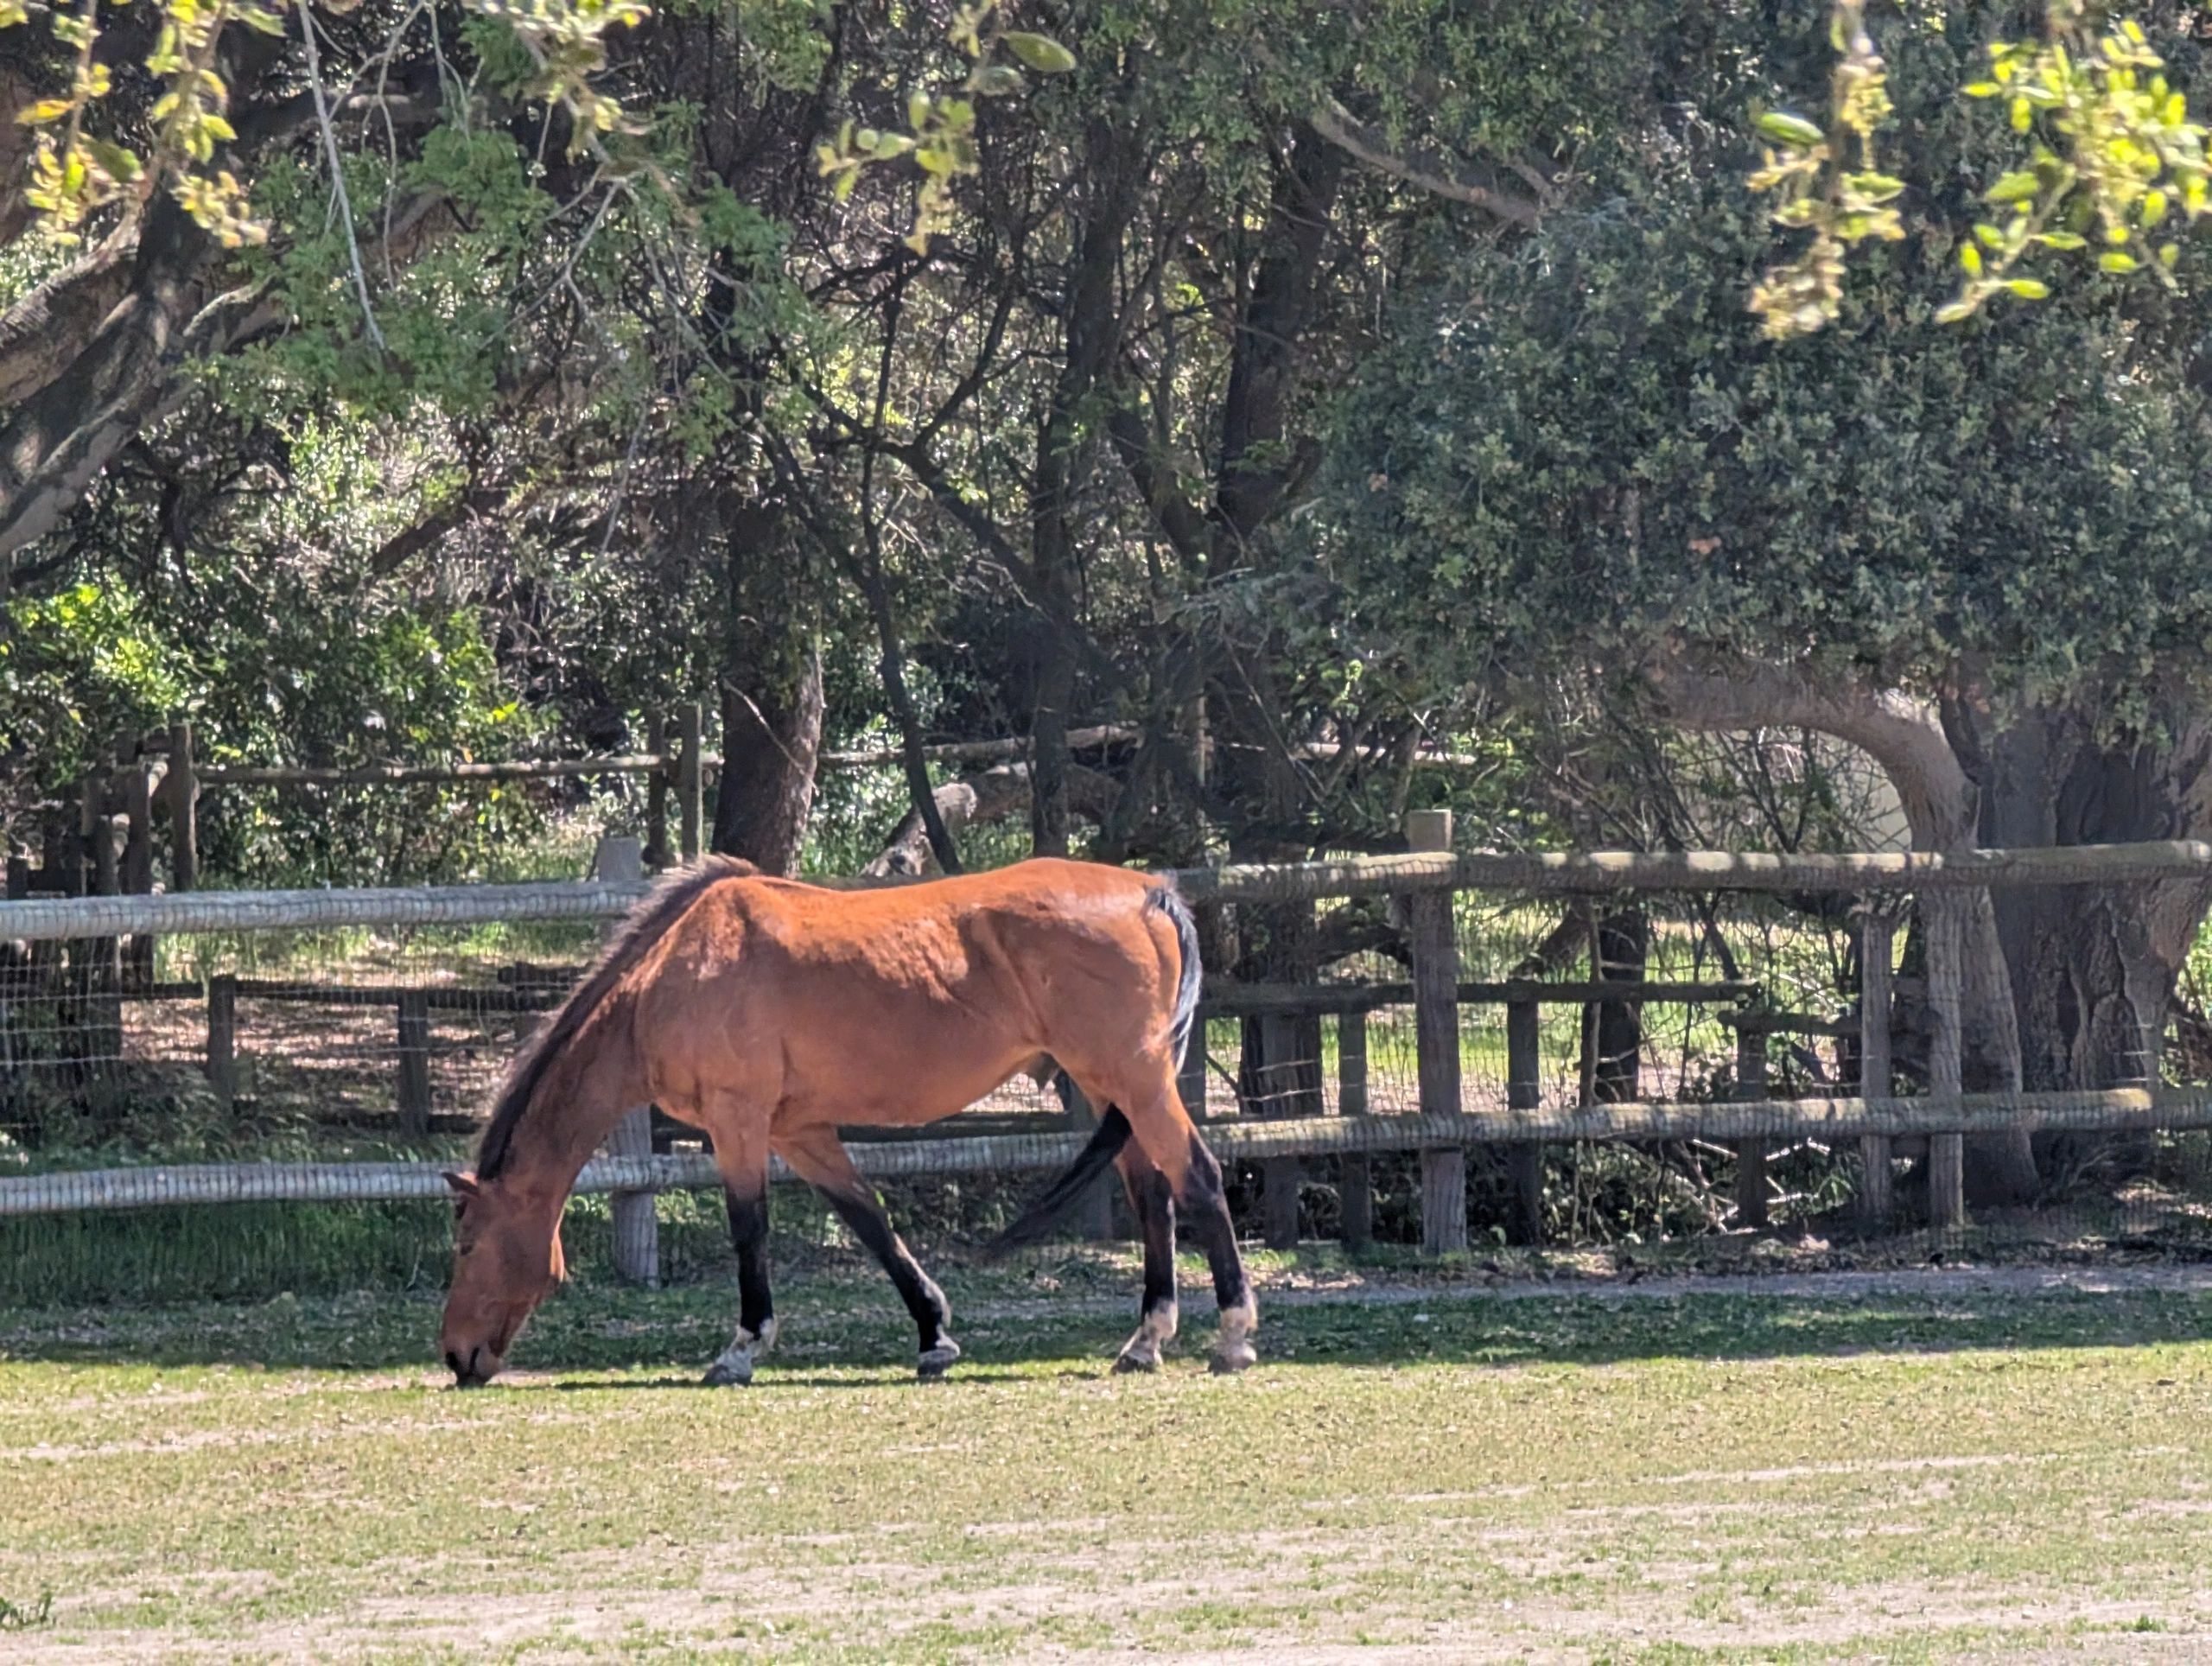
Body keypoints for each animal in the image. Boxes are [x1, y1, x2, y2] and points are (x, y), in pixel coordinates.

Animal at [437, 856, 1257, 1387]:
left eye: (469, 1244)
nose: (456, 1356)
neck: (673, 975)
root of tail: (1148, 893)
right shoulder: (798, 1133)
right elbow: (869, 1221)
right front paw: (933, 1335)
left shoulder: (737, 1123)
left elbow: (750, 1231)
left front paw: (741, 1349)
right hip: (1109, 1084)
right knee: (1152, 1194)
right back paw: (1144, 1342)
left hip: (1136, 1080)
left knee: (1199, 1179)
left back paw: (1232, 1335)